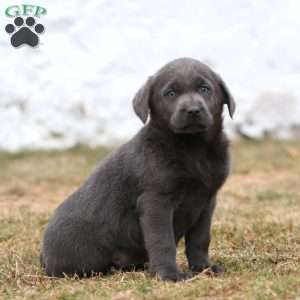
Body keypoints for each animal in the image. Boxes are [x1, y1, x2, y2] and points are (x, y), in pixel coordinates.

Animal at [41, 56, 236, 282]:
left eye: (205, 89)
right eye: (170, 93)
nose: (193, 111)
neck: (192, 148)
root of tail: (42, 256)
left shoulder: (206, 201)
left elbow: (200, 239)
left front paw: (203, 267)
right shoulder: (156, 202)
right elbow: (163, 241)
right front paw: (169, 274)